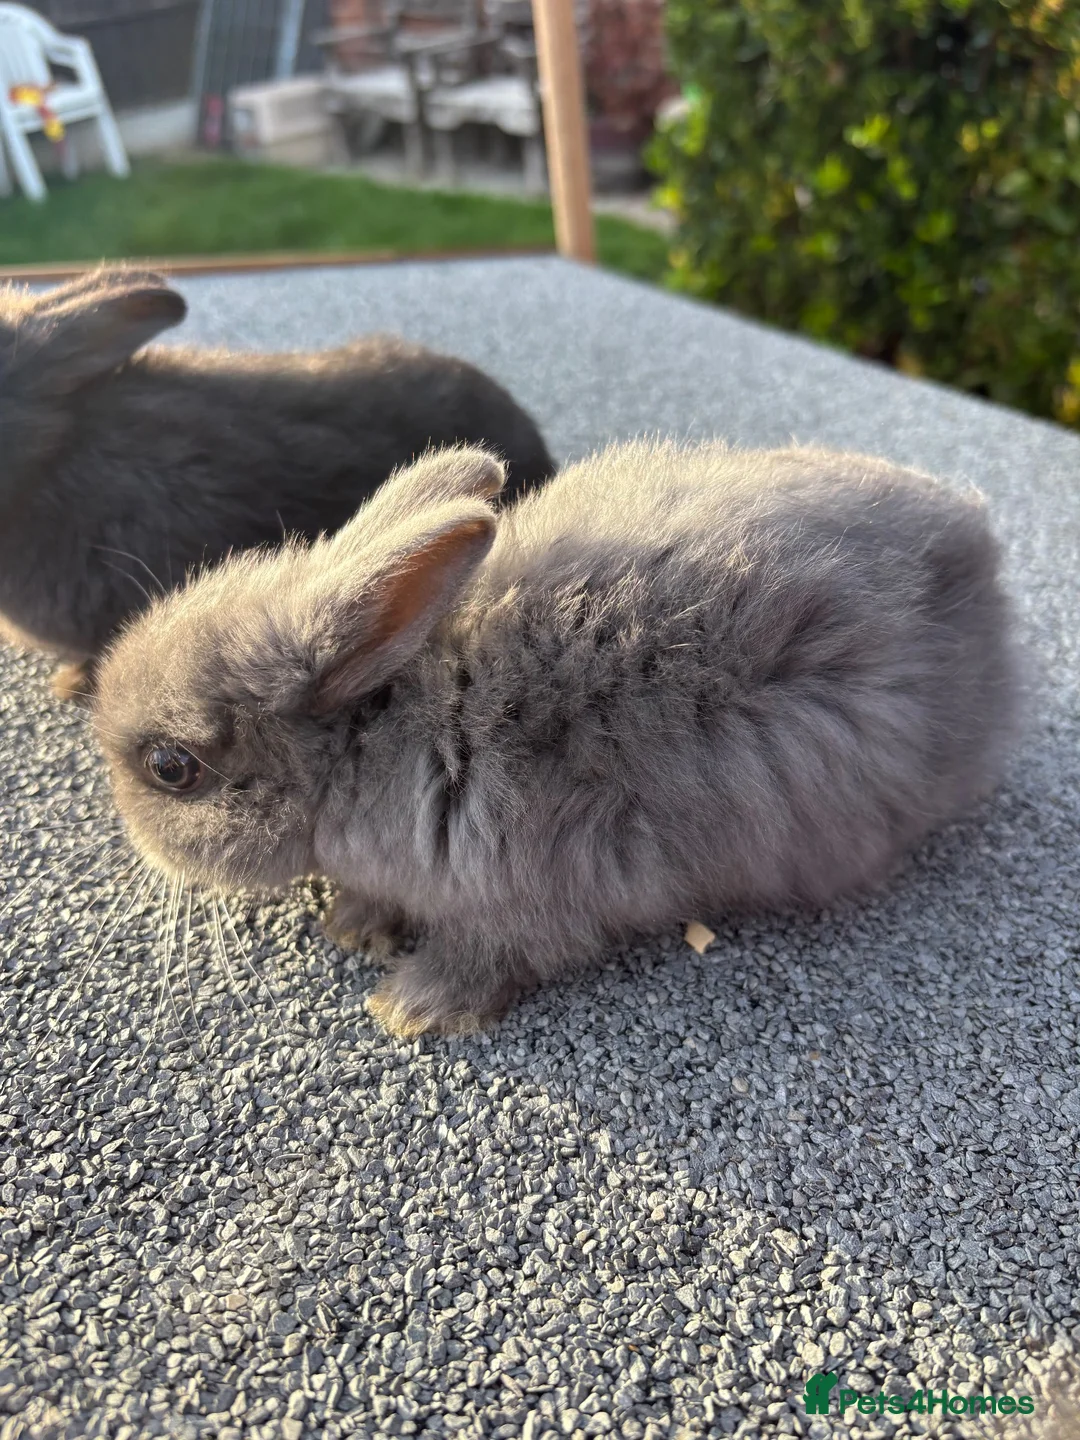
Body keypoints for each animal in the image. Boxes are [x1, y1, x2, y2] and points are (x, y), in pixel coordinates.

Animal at [92, 439, 1021, 1038]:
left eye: (171, 767)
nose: (128, 831)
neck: (380, 725)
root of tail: (979, 546)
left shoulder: (527, 894)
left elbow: (490, 956)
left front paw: (409, 1008)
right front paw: (353, 926)